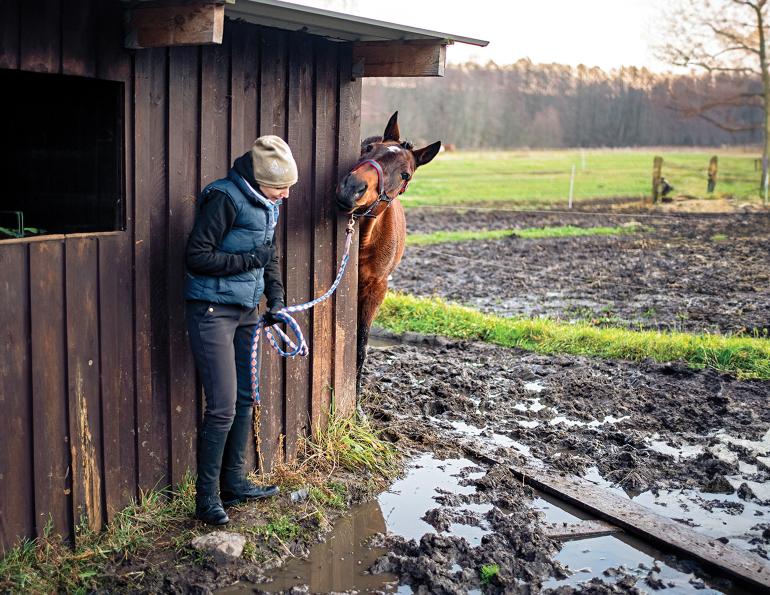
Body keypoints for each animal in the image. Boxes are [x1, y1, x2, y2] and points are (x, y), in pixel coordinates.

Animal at [335, 111, 441, 393]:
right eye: (370, 149)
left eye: (405, 175)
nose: (352, 188)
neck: (365, 241)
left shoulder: (376, 288)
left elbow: (361, 344)